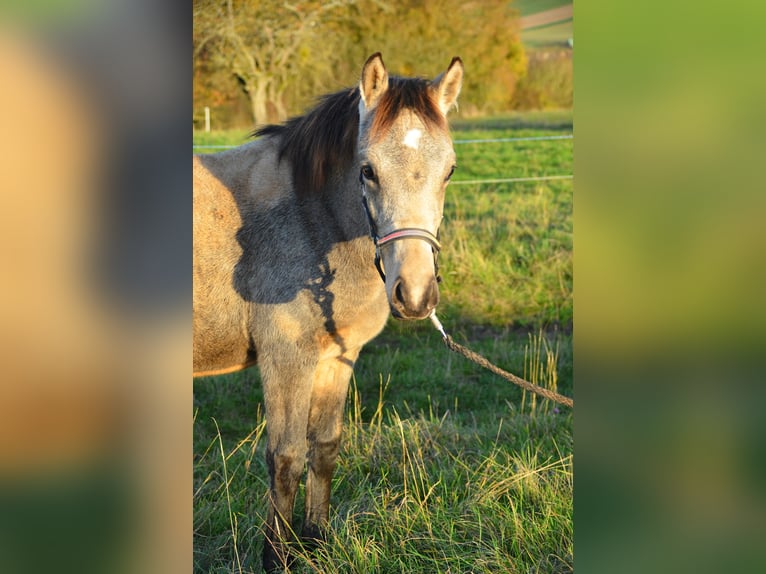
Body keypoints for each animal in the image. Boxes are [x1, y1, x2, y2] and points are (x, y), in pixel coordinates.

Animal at [195, 53, 464, 572]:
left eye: (449, 171)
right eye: (368, 170)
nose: (415, 294)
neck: (310, 221)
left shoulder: (337, 357)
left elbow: (324, 447)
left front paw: (316, 542)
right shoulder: (287, 358)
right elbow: (286, 457)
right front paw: (276, 557)